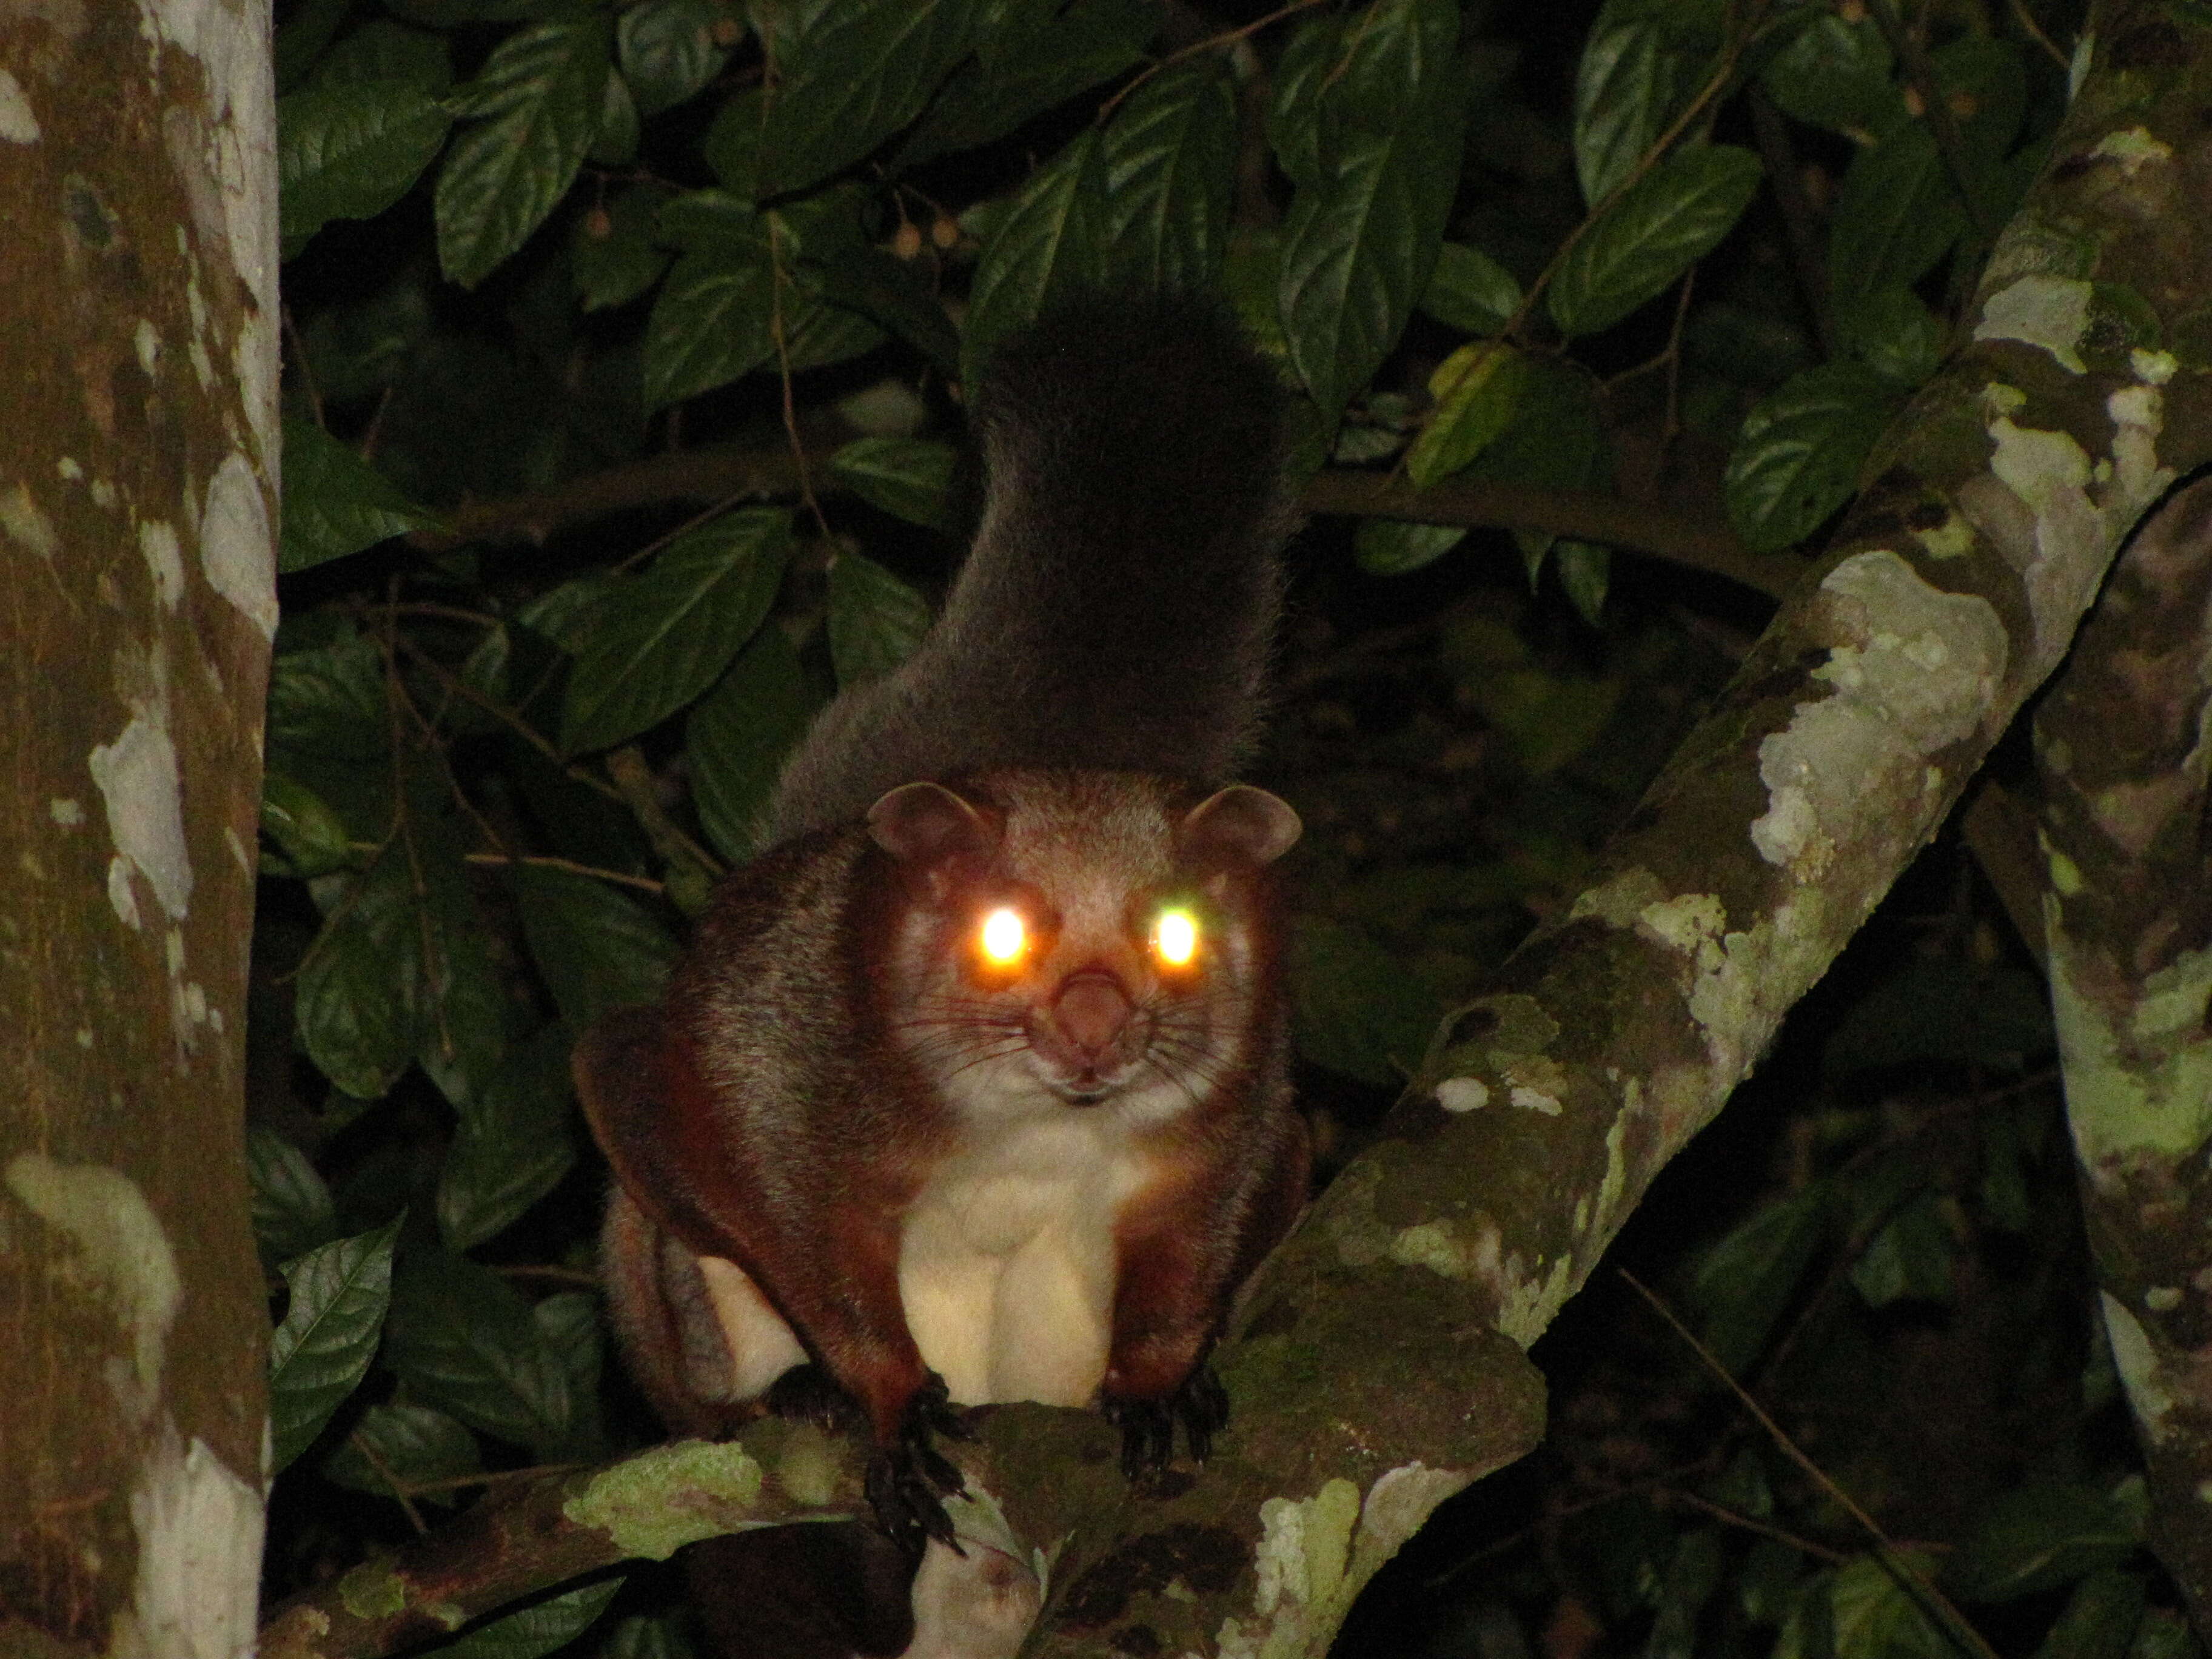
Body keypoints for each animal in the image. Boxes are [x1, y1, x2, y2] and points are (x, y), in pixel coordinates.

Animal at [571, 289, 1309, 1637]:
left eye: (1176, 934)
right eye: (1001, 931)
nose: (1095, 1024)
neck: (1035, 1116)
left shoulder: (1244, 1103)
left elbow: (1212, 1218)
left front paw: (1164, 1381)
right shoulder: (774, 1054)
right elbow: (742, 1172)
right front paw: (876, 1393)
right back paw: (786, 1399)